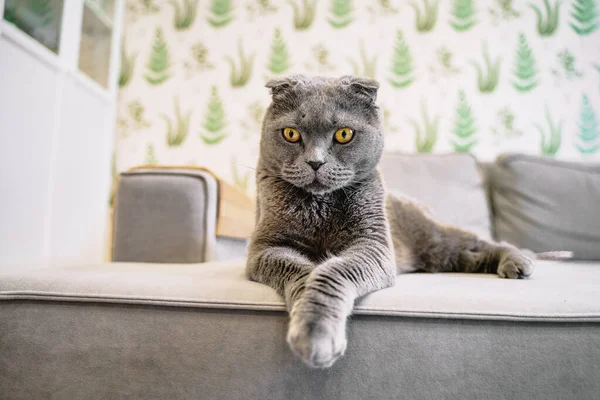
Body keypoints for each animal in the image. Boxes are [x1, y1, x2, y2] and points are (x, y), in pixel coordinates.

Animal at [247, 75, 536, 368]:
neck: (321, 207)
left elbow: (333, 271)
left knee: (484, 242)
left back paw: (519, 263)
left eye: (344, 134)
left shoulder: (374, 245)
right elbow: (302, 271)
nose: (315, 162)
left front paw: (317, 337)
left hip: (437, 240)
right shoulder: (265, 248)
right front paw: (310, 320)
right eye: (291, 134)